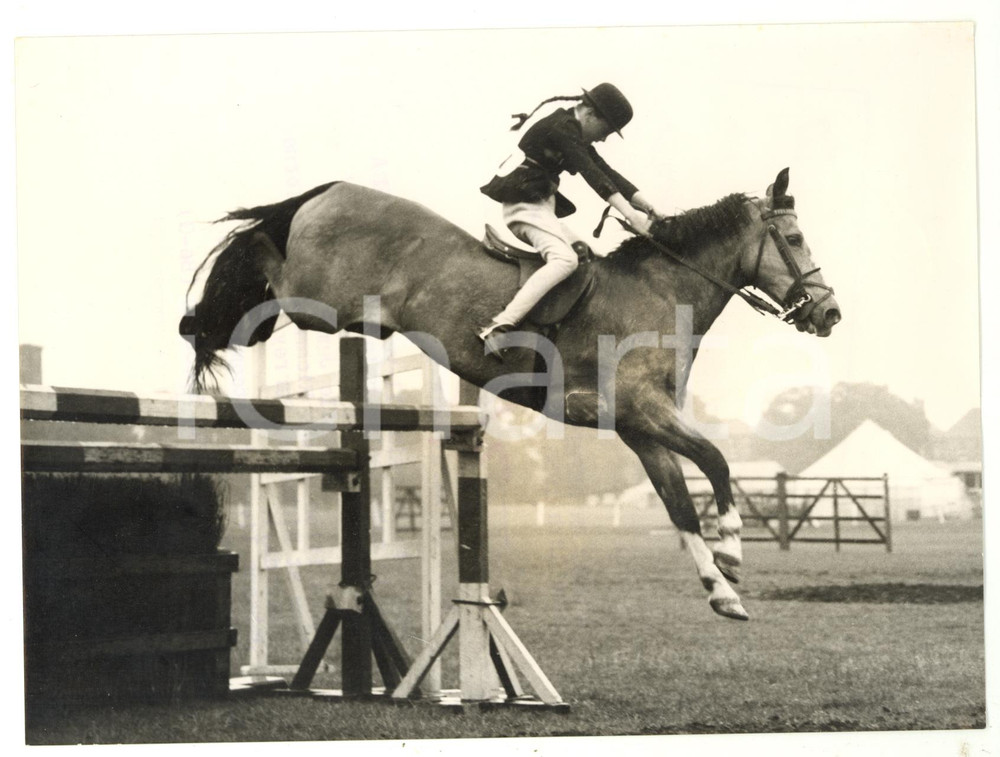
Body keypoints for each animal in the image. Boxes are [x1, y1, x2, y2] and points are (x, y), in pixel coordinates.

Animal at [180, 168, 840, 621]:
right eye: (795, 239)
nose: (829, 313)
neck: (661, 292)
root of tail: (333, 188)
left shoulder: (640, 430)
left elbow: (681, 506)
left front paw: (721, 591)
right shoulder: (643, 411)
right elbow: (718, 462)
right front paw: (732, 555)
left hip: (337, 315)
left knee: (261, 297)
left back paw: (211, 323)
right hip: (320, 300)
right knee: (264, 257)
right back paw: (210, 302)